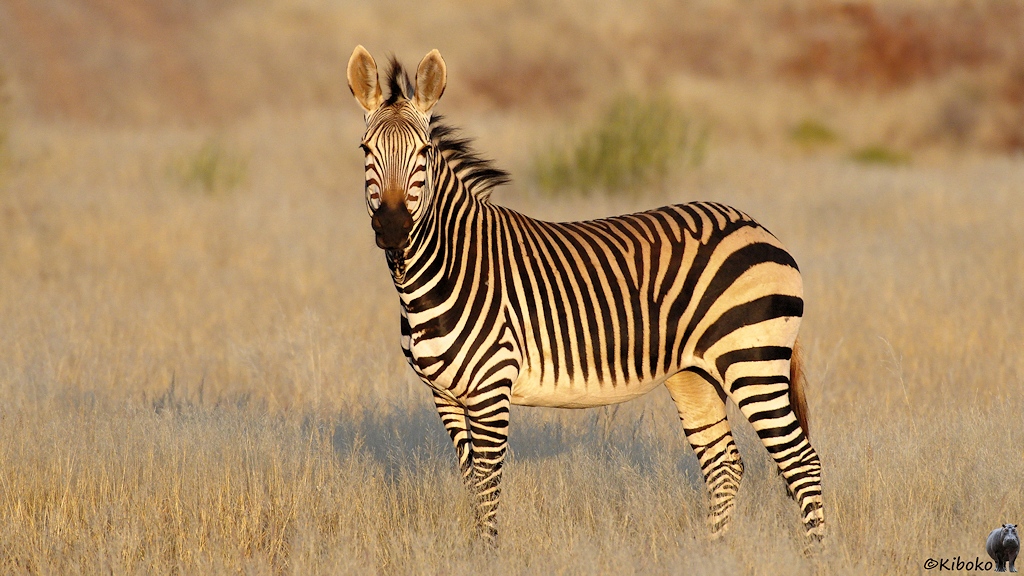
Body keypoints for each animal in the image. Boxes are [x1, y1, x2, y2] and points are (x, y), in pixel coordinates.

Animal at [346, 45, 824, 543]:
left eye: (424, 152)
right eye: (365, 150)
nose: (393, 228)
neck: (440, 269)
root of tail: (755, 224)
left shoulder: (491, 389)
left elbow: (488, 486)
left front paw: (487, 550)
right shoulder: (445, 396)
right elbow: (471, 483)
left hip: (753, 361)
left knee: (801, 462)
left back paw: (815, 553)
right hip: (694, 373)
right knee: (725, 466)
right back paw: (712, 551)